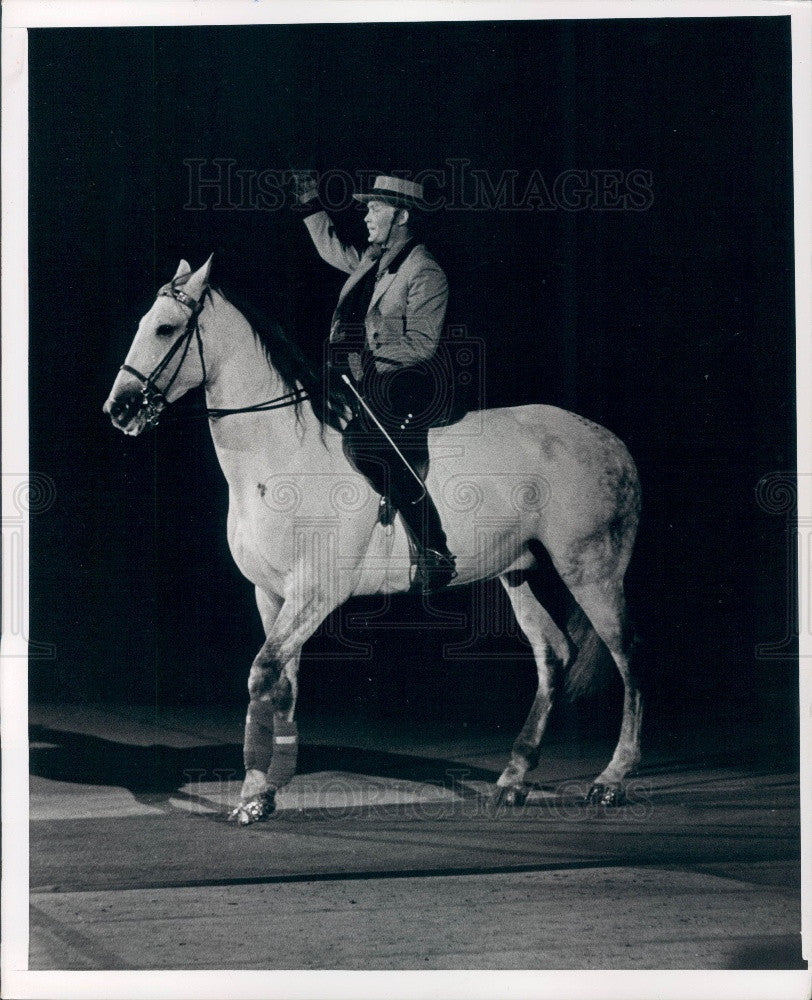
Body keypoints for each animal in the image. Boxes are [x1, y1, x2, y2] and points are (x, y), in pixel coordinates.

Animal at [104, 262, 644, 824]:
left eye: (165, 328)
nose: (119, 409)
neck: (282, 457)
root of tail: (609, 442)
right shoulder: (272, 593)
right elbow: (283, 684)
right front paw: (270, 786)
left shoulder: (316, 591)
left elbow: (263, 673)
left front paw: (252, 796)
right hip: (516, 571)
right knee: (553, 653)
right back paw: (513, 779)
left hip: (593, 570)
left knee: (626, 653)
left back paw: (611, 779)